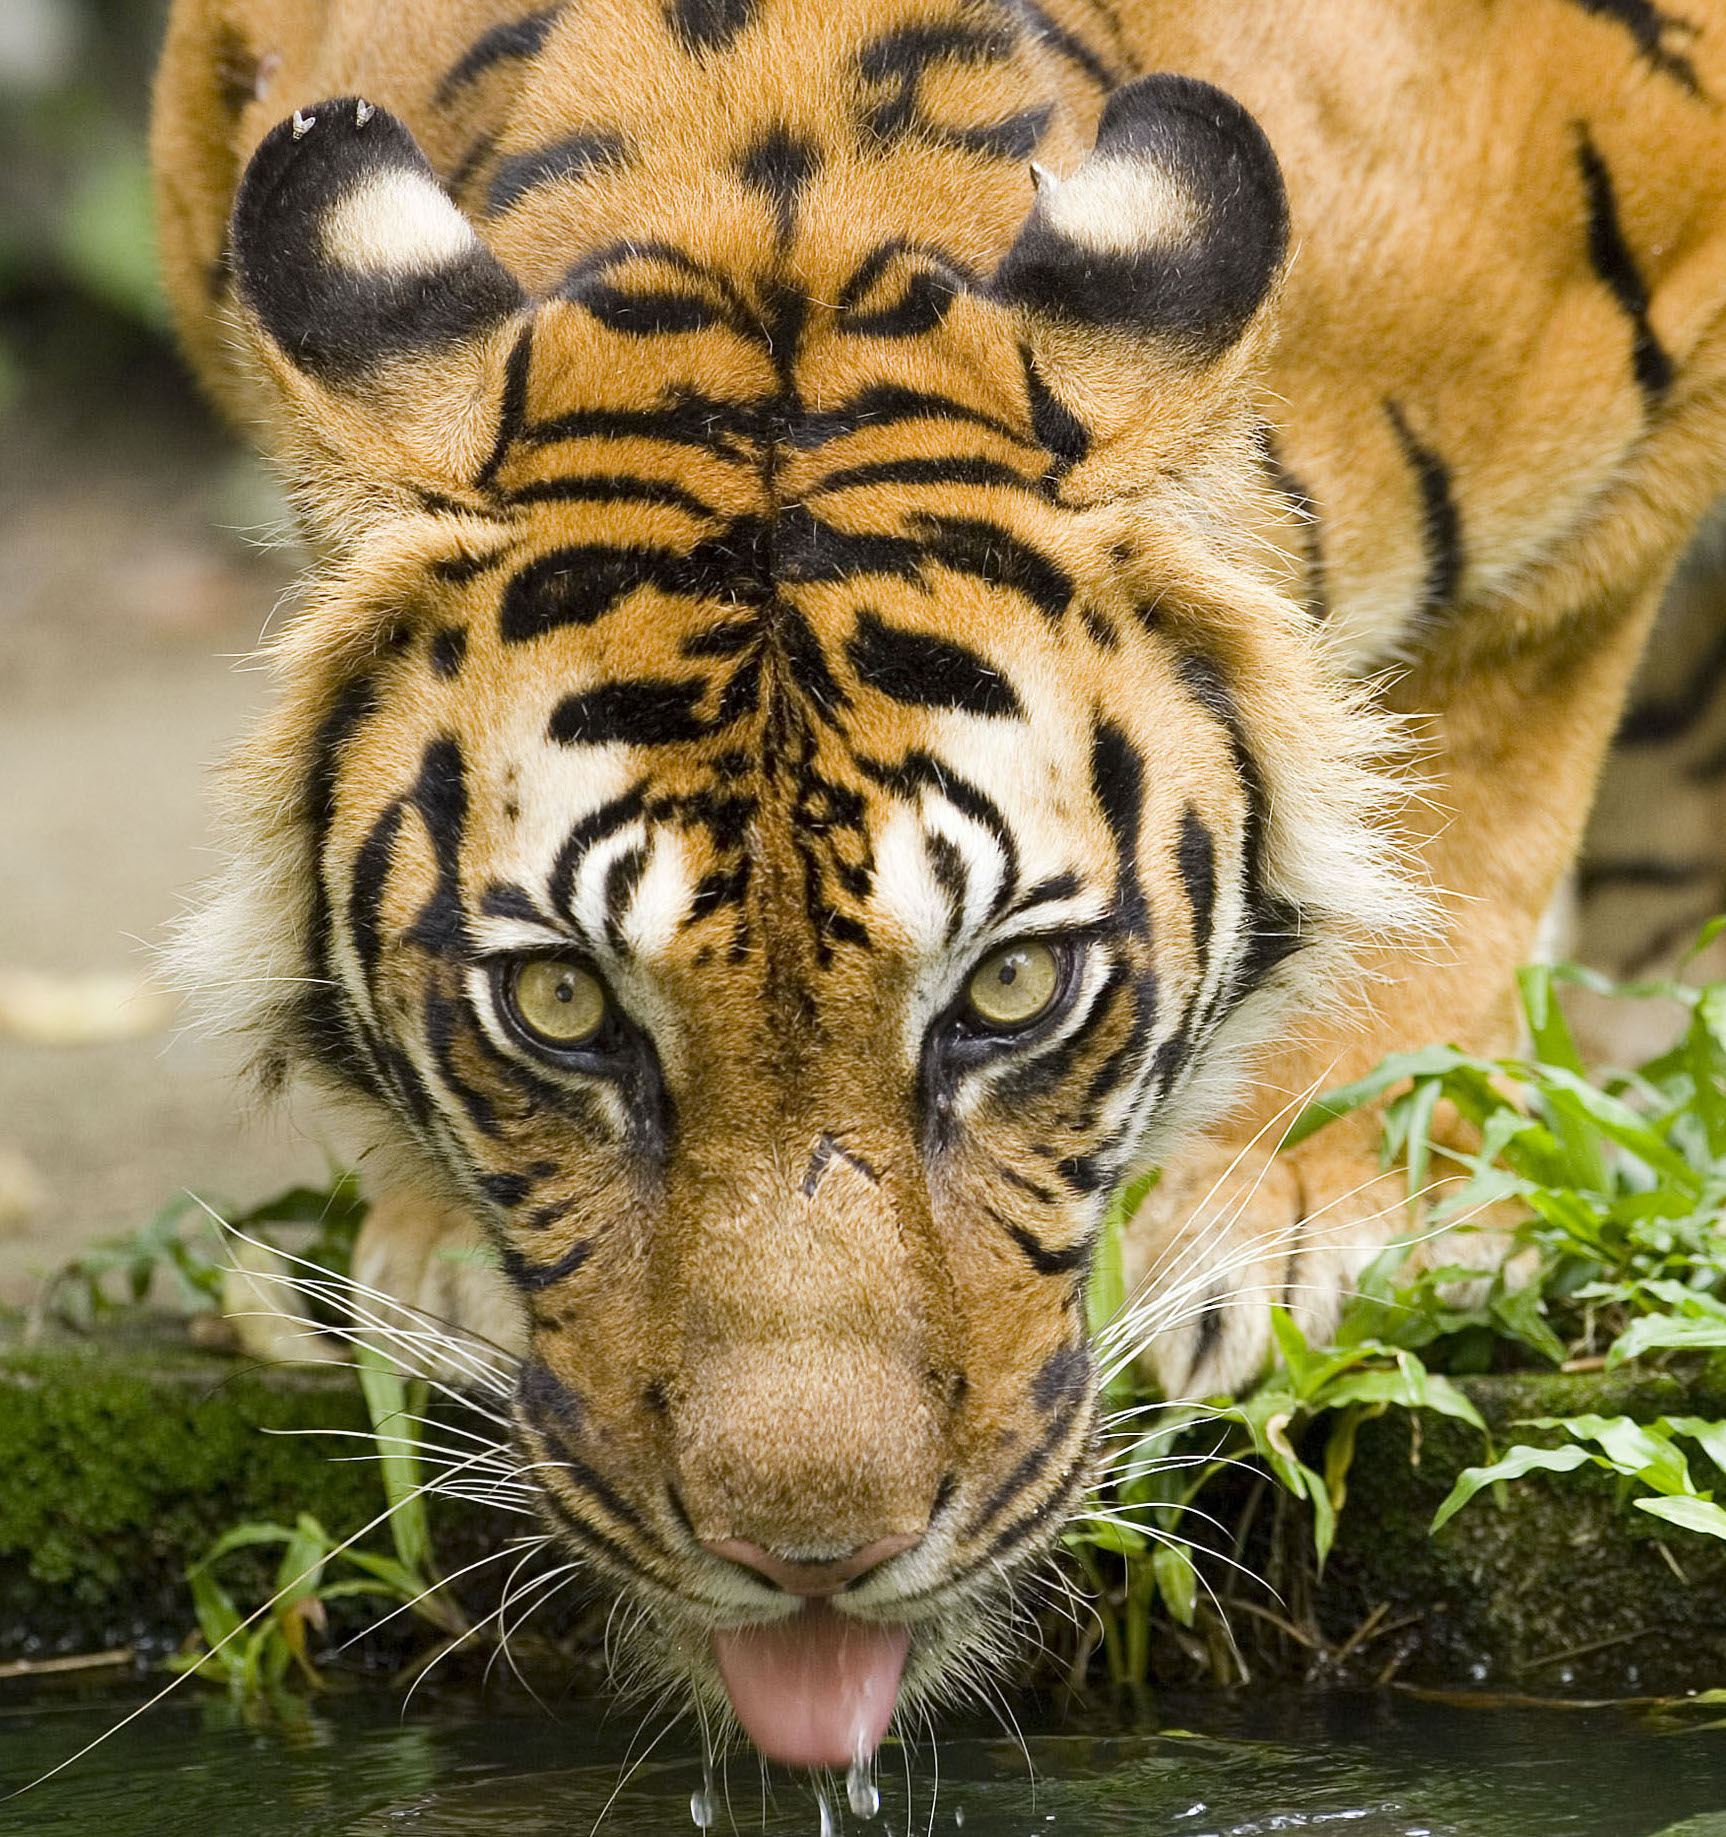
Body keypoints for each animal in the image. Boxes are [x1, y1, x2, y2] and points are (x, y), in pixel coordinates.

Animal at [152, 0, 1726, 1770]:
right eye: (558, 1003)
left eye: (1009, 988)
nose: (810, 1556)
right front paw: (432, 1255)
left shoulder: (1628, 426)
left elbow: (1467, 796)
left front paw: (1313, 1207)